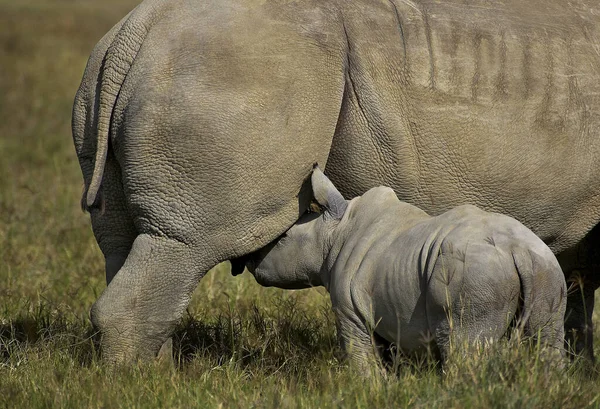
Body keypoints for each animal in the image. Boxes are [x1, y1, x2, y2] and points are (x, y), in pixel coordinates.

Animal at [247, 167, 568, 372]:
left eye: (283, 238)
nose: (251, 261)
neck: (336, 230)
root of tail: (518, 251)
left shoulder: (350, 310)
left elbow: (360, 358)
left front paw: (368, 389)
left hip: (475, 274)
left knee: (464, 347)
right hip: (545, 267)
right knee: (547, 340)